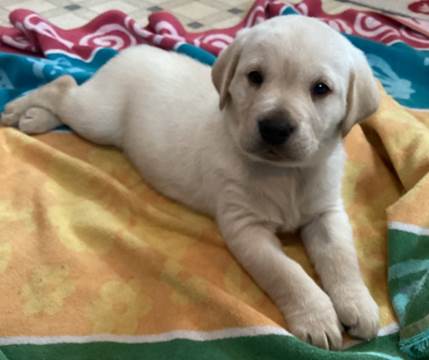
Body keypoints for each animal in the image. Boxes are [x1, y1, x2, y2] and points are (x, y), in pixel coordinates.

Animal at [2, 15, 378, 350]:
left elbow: (342, 256)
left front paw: (357, 303)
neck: (286, 174)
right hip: (98, 117)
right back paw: (21, 108)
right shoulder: (245, 227)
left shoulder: (326, 212)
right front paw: (316, 315)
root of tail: (133, 49)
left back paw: (34, 117)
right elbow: (287, 271)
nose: (274, 127)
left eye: (321, 89)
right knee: (64, 84)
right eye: (255, 77)